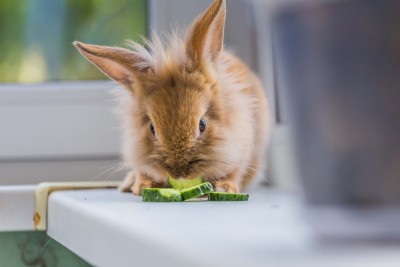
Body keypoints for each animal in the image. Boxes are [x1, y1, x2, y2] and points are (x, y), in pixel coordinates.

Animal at [73, 0, 270, 197]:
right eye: (152, 128)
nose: (179, 174)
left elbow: (234, 172)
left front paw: (225, 188)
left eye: (202, 124)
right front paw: (143, 186)